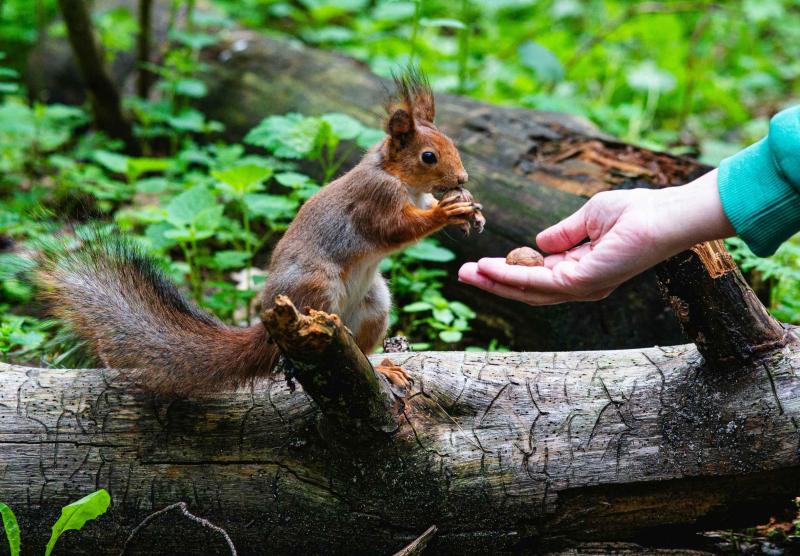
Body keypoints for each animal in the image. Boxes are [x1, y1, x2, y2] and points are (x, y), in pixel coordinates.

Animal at [37, 69, 480, 396]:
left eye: (451, 143)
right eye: (428, 156)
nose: (462, 178)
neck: (396, 177)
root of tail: (267, 327)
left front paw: (468, 211)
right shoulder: (374, 200)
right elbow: (396, 229)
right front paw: (448, 210)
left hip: (374, 305)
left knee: (362, 346)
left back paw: (381, 368)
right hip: (317, 289)